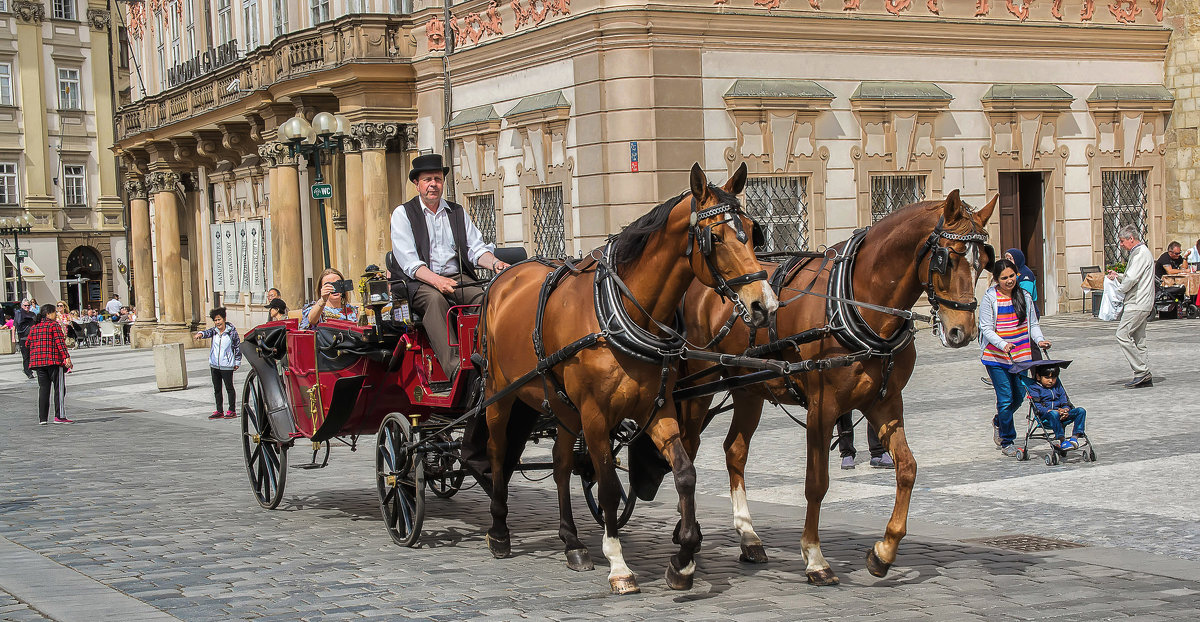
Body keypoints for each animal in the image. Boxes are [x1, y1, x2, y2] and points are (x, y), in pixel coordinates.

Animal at [477, 162, 777, 595]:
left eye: (752, 232)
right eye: (715, 237)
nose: (764, 304)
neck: (621, 315)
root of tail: (505, 275)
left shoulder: (657, 409)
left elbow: (685, 474)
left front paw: (683, 561)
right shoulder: (596, 417)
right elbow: (607, 488)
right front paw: (618, 564)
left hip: (563, 408)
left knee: (562, 463)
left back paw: (572, 542)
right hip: (501, 394)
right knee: (499, 453)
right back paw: (499, 532)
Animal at [681, 189, 998, 585]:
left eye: (982, 262)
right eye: (947, 259)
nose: (962, 331)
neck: (858, 303)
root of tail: (698, 284)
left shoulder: (885, 403)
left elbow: (907, 468)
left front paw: (883, 552)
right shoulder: (823, 408)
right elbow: (817, 483)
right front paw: (815, 558)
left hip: (749, 390)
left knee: (734, 451)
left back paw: (748, 536)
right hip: (701, 384)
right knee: (687, 448)